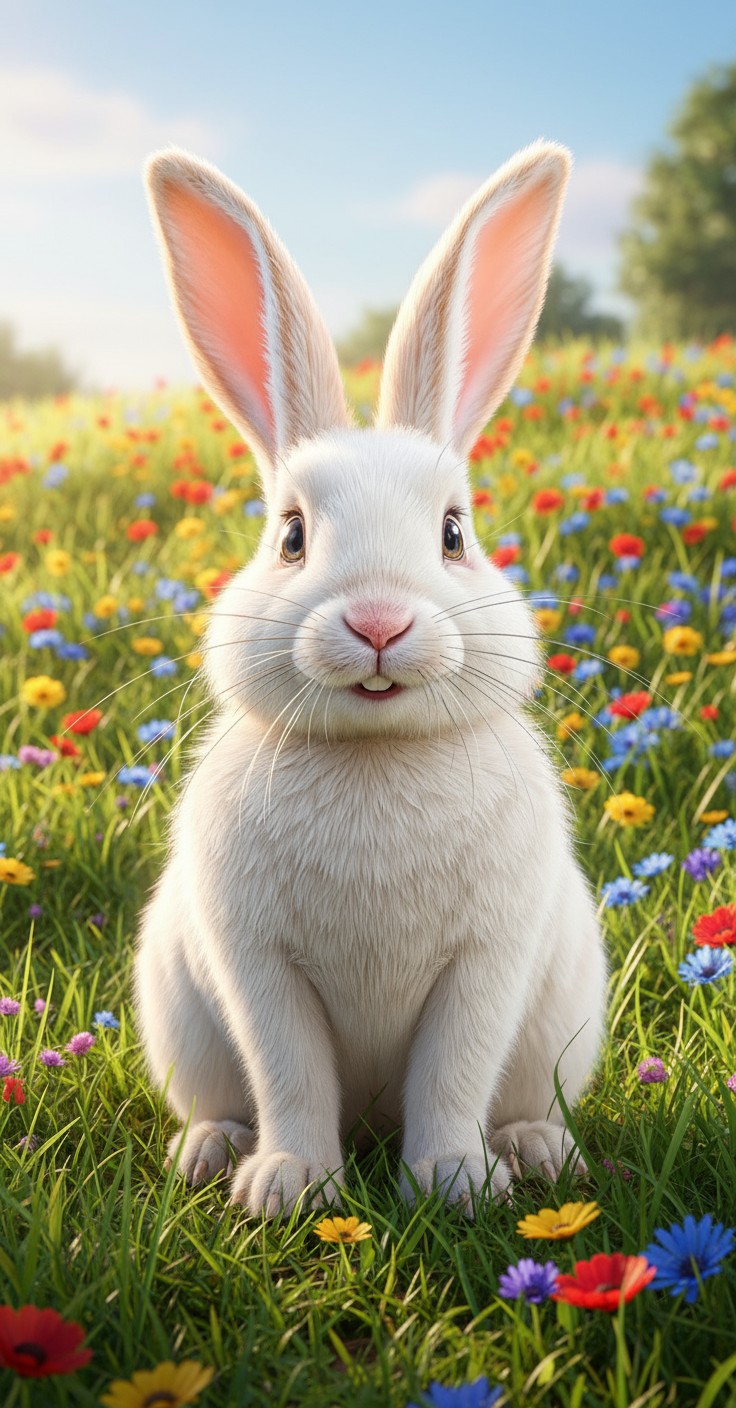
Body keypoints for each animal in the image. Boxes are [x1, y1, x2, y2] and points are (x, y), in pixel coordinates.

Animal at [134, 139, 606, 1219]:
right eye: (291, 536)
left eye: (454, 532)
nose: (379, 622)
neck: (378, 754)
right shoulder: (259, 968)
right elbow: (291, 1073)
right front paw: (289, 1186)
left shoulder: (484, 965)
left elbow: (453, 1074)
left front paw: (453, 1181)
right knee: (229, 1097)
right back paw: (213, 1150)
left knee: (513, 1097)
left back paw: (535, 1149)